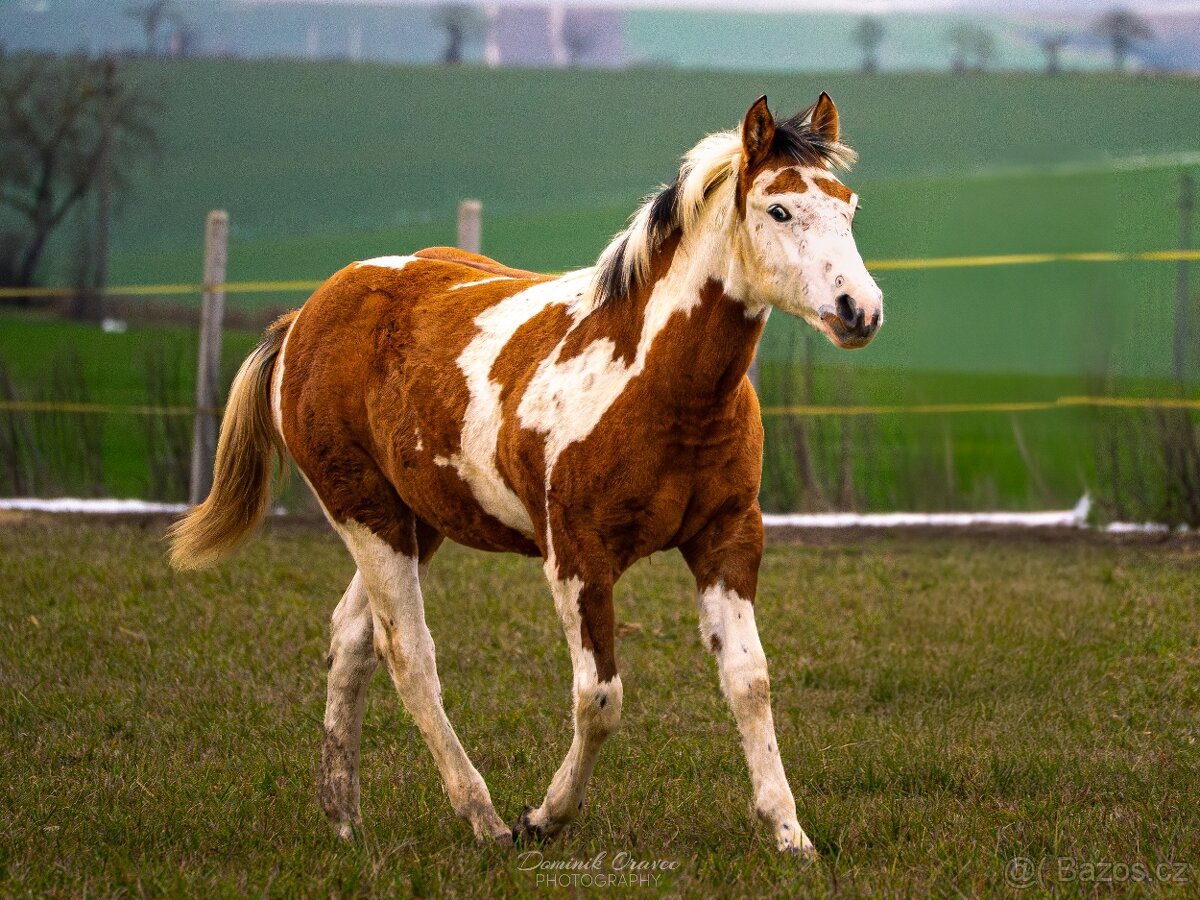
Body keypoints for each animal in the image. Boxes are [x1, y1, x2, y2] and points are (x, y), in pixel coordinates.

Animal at [168, 93, 882, 858]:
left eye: (849, 208)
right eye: (778, 210)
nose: (859, 310)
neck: (654, 382)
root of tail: (305, 314)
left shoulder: (727, 539)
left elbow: (749, 680)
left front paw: (789, 832)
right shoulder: (576, 557)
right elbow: (600, 698)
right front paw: (544, 817)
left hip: (418, 521)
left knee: (352, 638)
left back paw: (343, 815)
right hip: (366, 515)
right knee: (407, 654)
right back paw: (480, 816)